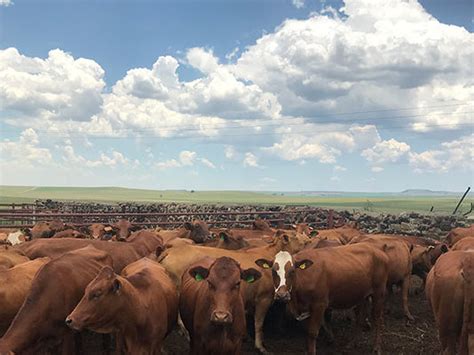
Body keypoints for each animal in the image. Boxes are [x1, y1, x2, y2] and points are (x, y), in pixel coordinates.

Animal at [159, 231, 310, 354]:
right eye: (296, 237)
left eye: (292, 271)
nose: (308, 241)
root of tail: (170, 251)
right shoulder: (264, 299)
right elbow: (259, 323)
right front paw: (260, 346)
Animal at [256, 245, 388, 355]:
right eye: (273, 271)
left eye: (292, 271)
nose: (281, 295)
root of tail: (378, 251)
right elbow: (308, 332)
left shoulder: (319, 304)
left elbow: (313, 332)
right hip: (360, 295)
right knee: (359, 318)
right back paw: (352, 344)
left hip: (379, 293)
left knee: (378, 319)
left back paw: (377, 348)